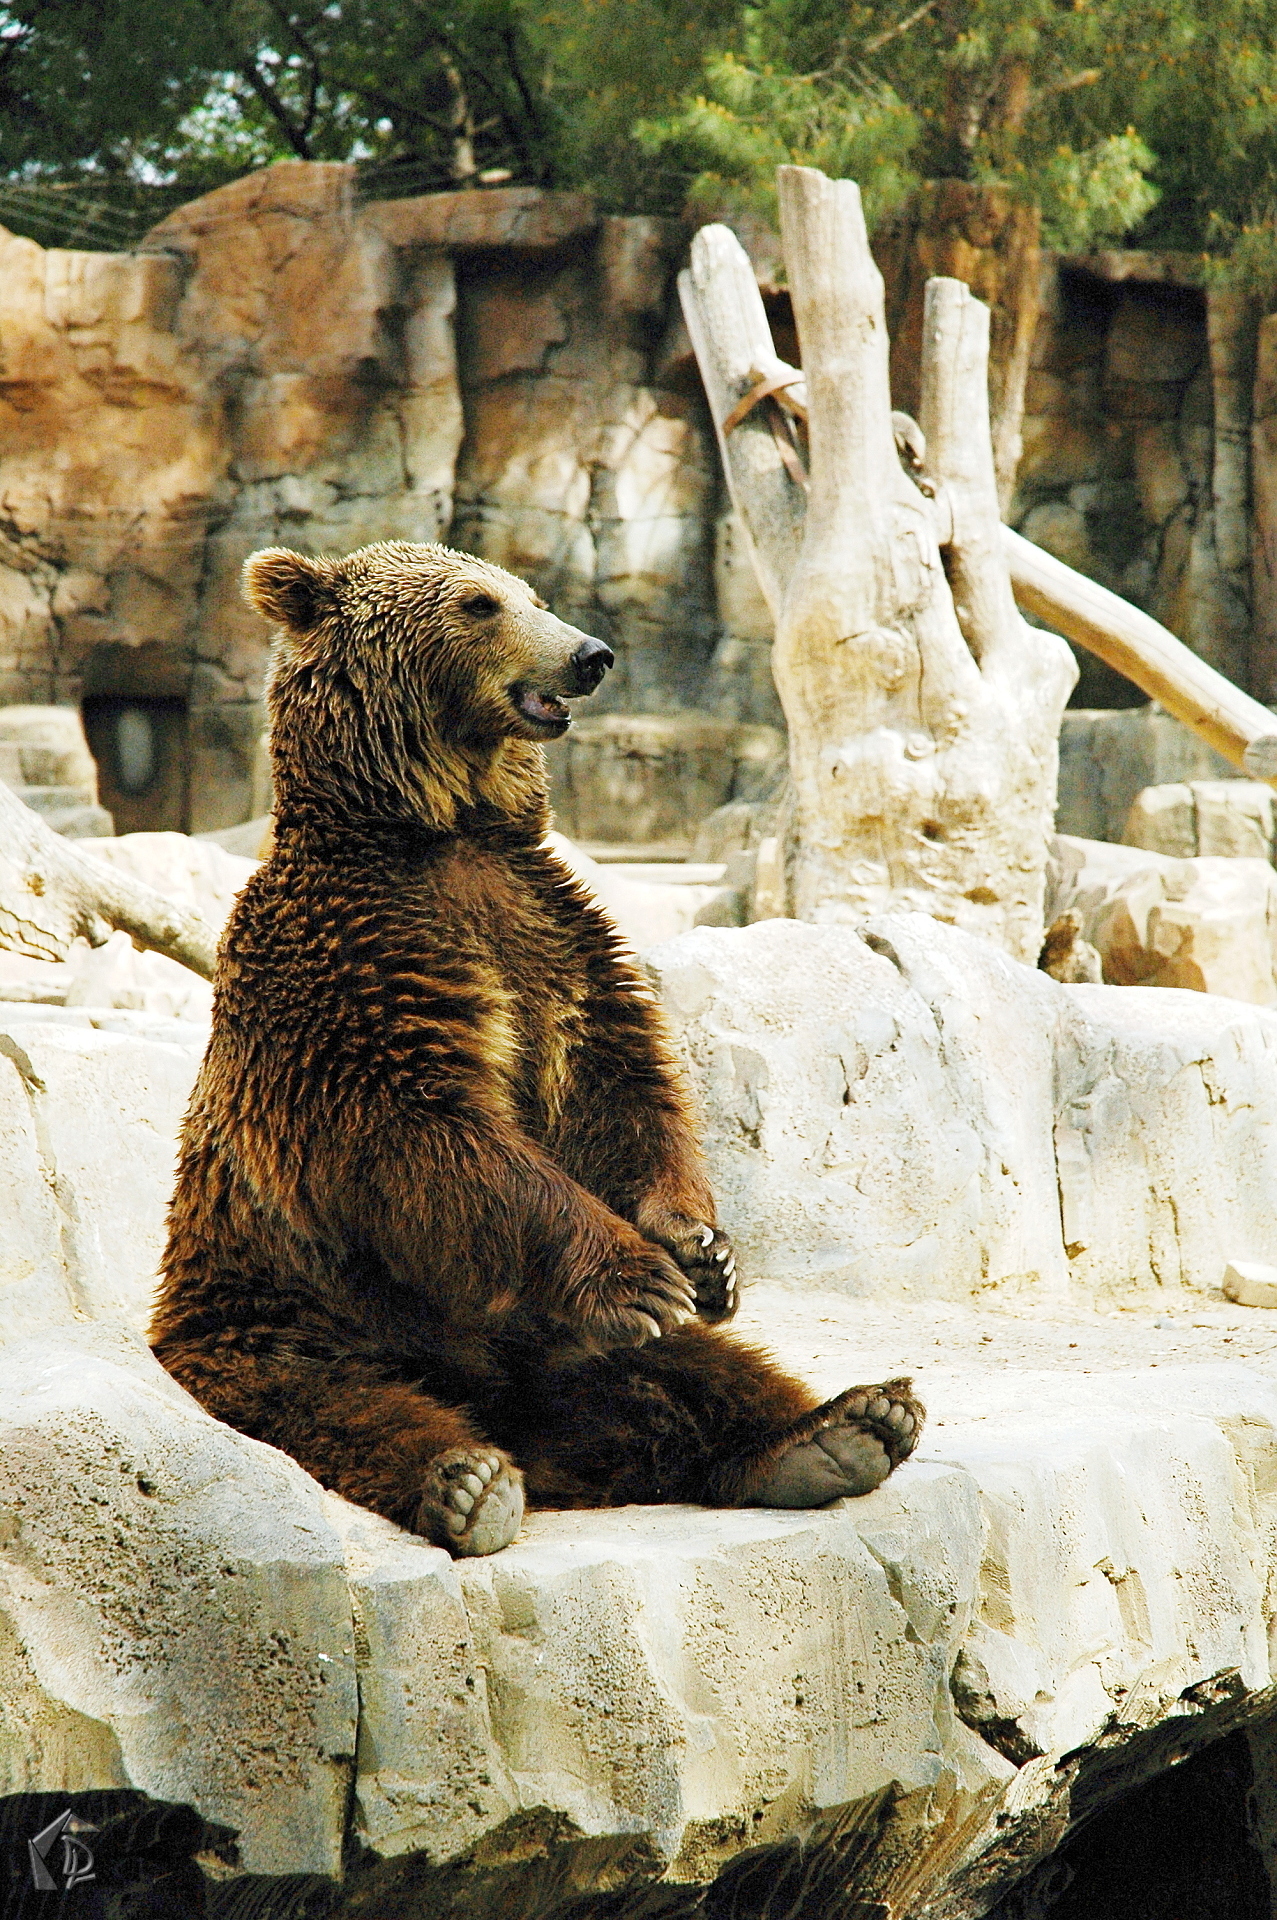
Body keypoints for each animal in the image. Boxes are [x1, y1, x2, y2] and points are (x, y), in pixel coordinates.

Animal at [150, 540, 923, 1556]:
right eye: (478, 603)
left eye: (534, 594)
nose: (590, 654)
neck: (435, 827)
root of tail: (531, 1434)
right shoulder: (355, 971)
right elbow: (433, 1132)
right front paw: (641, 1279)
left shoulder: (549, 933)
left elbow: (617, 1087)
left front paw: (701, 1251)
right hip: (280, 1310)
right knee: (332, 1402)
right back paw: (468, 1481)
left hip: (546, 1345)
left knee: (690, 1374)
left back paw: (842, 1428)